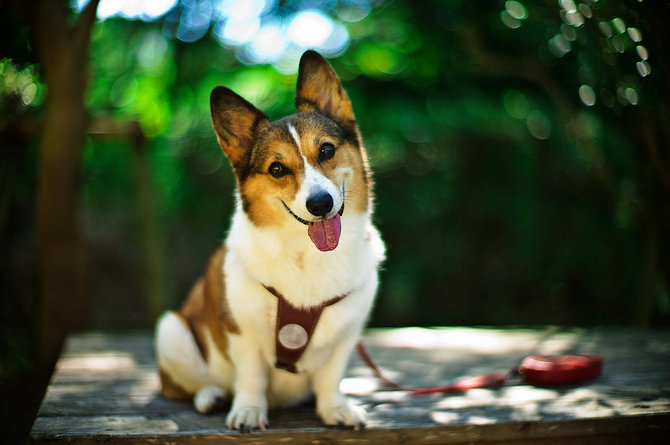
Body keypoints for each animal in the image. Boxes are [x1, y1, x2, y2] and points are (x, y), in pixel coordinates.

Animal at [156, 49, 386, 430]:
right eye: (277, 169)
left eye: (326, 150)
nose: (320, 204)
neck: (308, 254)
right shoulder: (242, 333)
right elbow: (251, 376)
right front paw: (249, 410)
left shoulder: (346, 334)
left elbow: (330, 376)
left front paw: (335, 408)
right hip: (172, 331)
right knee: (183, 387)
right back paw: (211, 396)